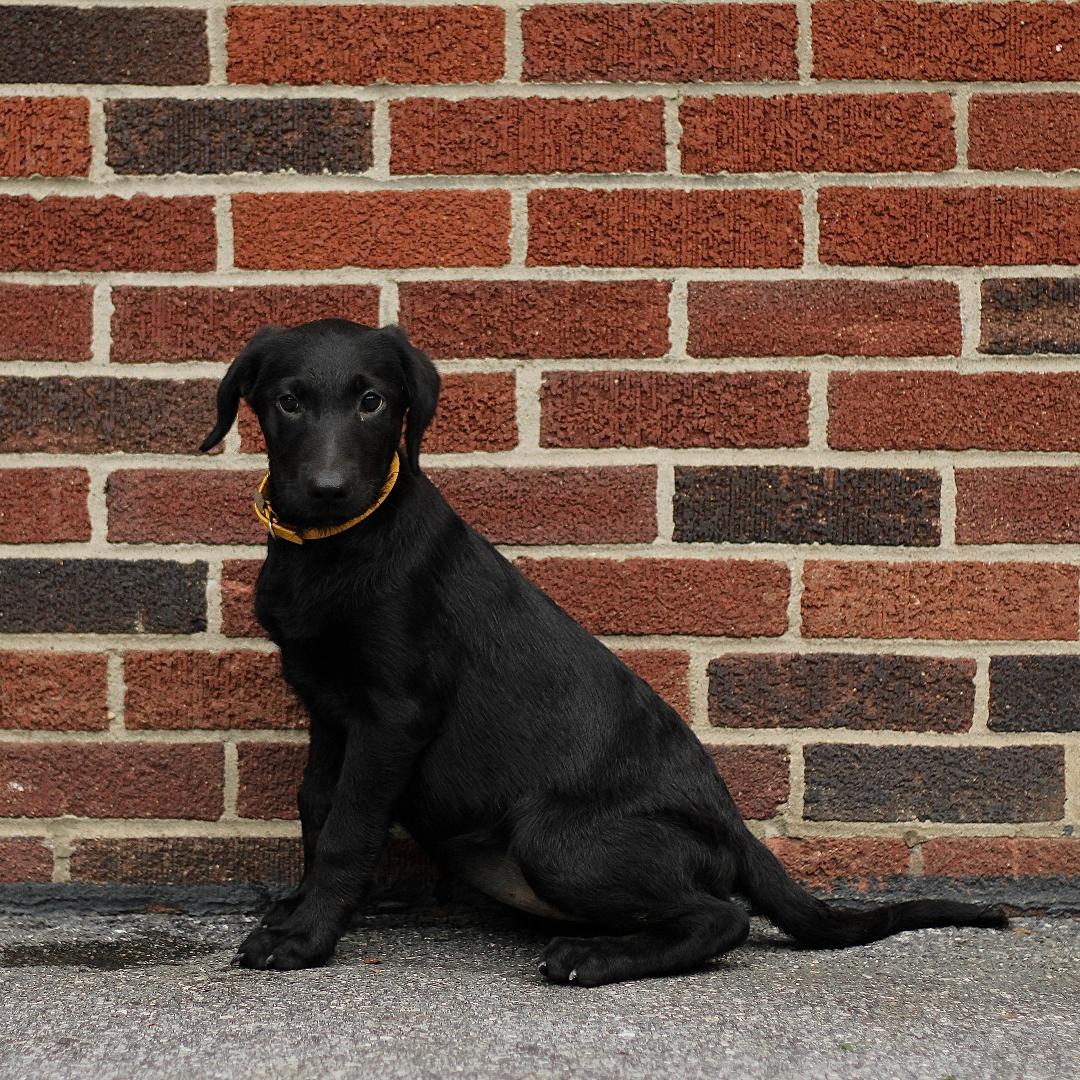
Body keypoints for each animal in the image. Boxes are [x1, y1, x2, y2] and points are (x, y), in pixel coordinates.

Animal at [198, 315, 1006, 984]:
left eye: (372, 401)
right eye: (288, 403)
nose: (328, 489)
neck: (334, 550)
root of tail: (734, 831)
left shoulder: (394, 714)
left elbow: (347, 829)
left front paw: (306, 939)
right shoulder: (329, 709)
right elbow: (316, 806)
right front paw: (299, 906)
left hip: (552, 835)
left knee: (723, 916)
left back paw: (592, 957)